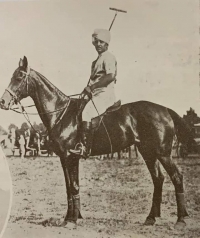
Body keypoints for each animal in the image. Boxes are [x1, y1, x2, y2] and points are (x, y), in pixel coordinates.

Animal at [0, 57, 194, 229]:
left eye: (19, 76)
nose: (3, 101)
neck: (61, 113)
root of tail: (165, 109)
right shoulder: (65, 158)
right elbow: (70, 187)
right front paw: (71, 217)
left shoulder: (71, 157)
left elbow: (74, 186)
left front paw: (72, 220)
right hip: (148, 152)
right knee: (158, 179)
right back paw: (151, 218)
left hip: (163, 153)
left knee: (177, 177)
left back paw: (181, 219)